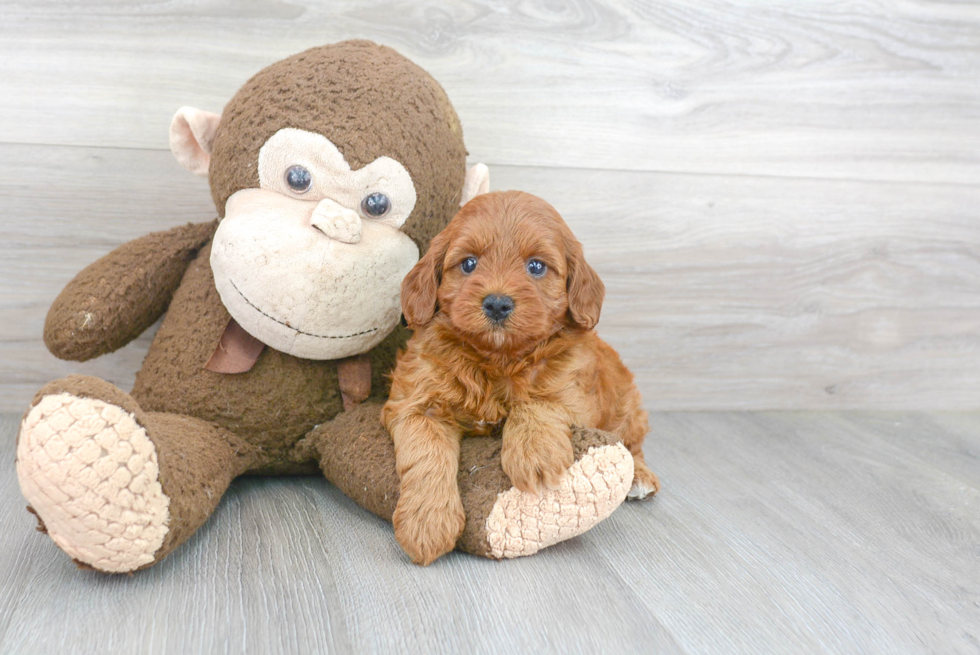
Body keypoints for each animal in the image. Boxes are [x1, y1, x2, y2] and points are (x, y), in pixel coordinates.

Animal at [382, 188, 660, 564]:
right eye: (468, 263)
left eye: (536, 266)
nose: (498, 304)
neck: (497, 359)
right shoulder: (416, 402)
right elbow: (426, 456)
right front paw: (426, 522)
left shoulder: (573, 389)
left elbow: (538, 402)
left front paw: (534, 454)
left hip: (625, 401)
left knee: (632, 442)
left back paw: (640, 476)